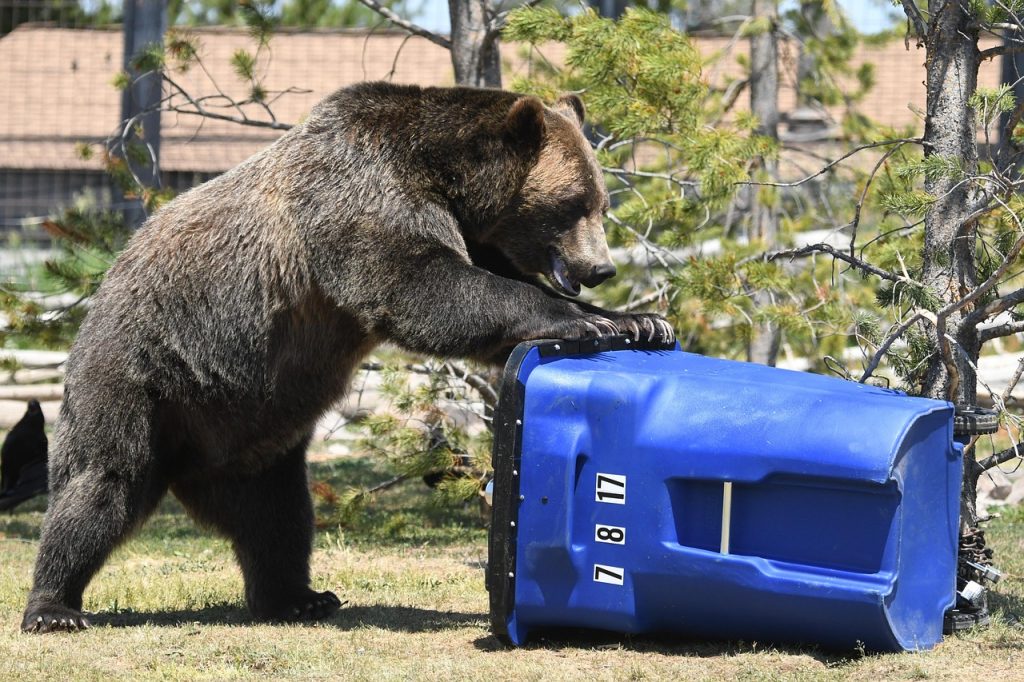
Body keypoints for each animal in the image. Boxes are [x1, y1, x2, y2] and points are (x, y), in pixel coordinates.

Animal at [21, 82, 674, 633]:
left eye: (602, 202)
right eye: (575, 203)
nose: (601, 268)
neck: (444, 177)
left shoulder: (461, 229)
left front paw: (639, 319)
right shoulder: (360, 200)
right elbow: (426, 288)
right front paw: (584, 320)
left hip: (251, 432)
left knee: (278, 517)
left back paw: (297, 597)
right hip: (142, 377)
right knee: (102, 483)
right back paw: (55, 606)